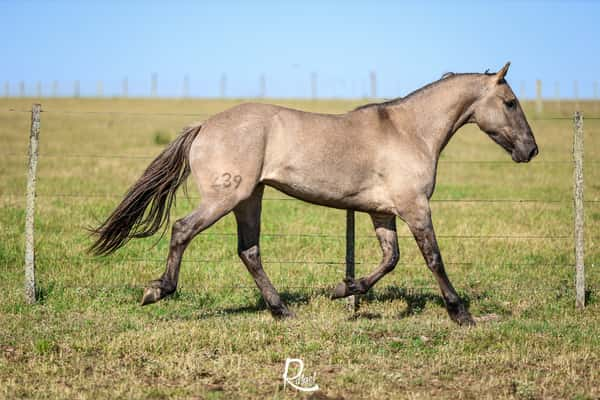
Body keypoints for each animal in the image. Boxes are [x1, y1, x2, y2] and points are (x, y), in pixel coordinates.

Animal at [90, 62, 540, 324]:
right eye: (510, 102)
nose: (530, 150)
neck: (409, 130)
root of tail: (203, 126)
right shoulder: (415, 207)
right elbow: (433, 258)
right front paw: (460, 313)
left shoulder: (382, 212)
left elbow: (390, 259)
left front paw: (344, 290)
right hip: (225, 198)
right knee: (183, 229)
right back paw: (158, 290)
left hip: (250, 200)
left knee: (249, 252)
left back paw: (282, 310)